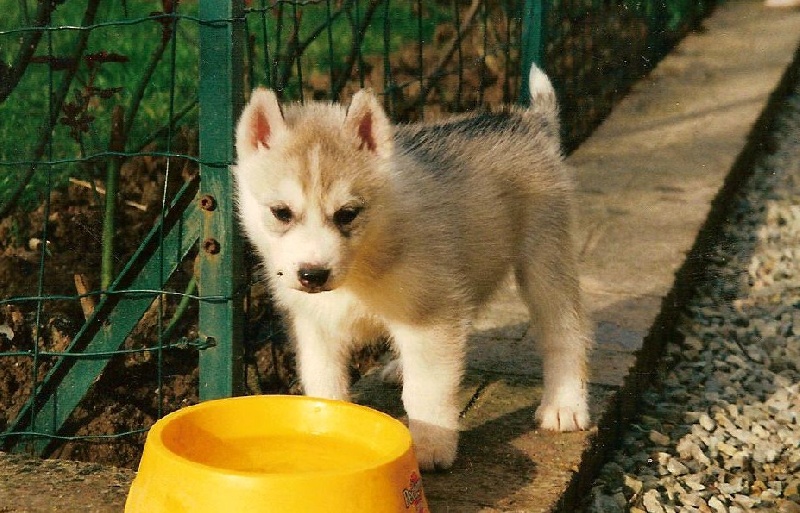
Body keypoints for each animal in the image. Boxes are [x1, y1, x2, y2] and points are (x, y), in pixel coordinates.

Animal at [232, 64, 590, 471]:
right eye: (281, 212)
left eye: (347, 214)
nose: (312, 275)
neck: (360, 267)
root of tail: (528, 120)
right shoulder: (315, 327)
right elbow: (324, 382)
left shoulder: (432, 316)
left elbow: (426, 391)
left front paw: (430, 447)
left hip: (545, 259)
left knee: (564, 330)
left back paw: (564, 405)